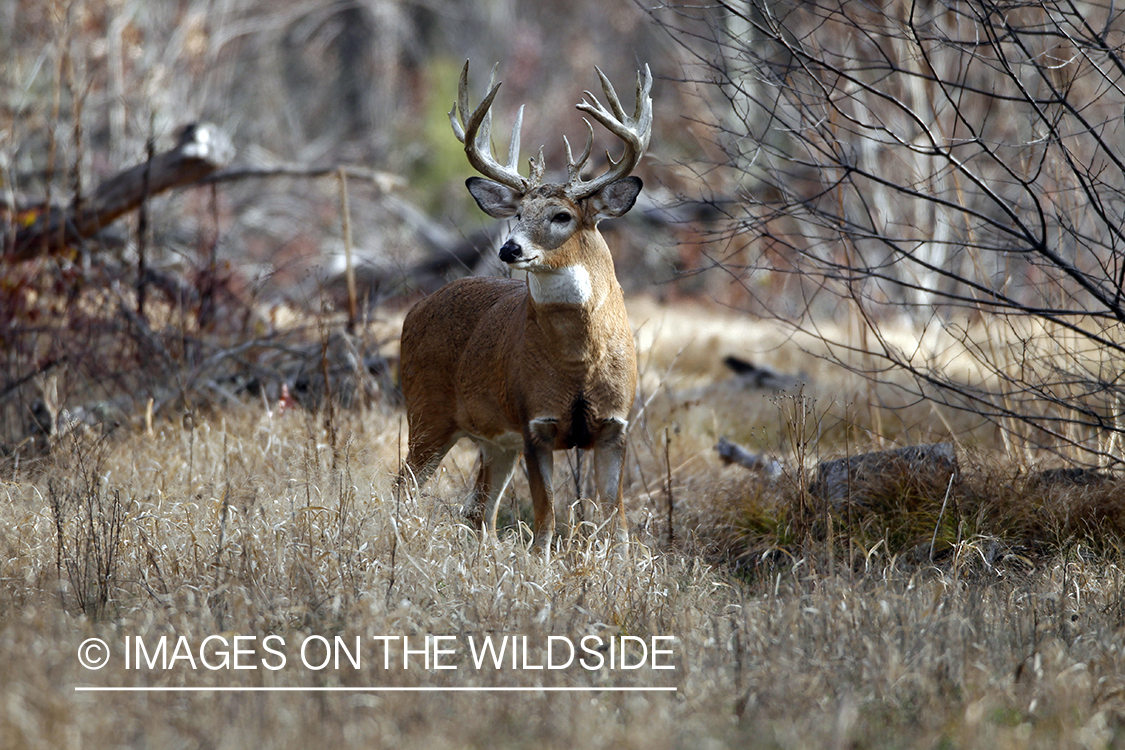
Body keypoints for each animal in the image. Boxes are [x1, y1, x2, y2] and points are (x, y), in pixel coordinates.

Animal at [400, 61, 657, 555]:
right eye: (518, 215)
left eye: (562, 216)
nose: (510, 249)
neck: (579, 362)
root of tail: (414, 311)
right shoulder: (535, 420)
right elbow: (545, 522)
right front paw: (542, 562)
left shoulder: (616, 424)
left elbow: (616, 523)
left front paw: (621, 565)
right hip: (425, 411)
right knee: (404, 487)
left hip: (495, 441)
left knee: (478, 510)